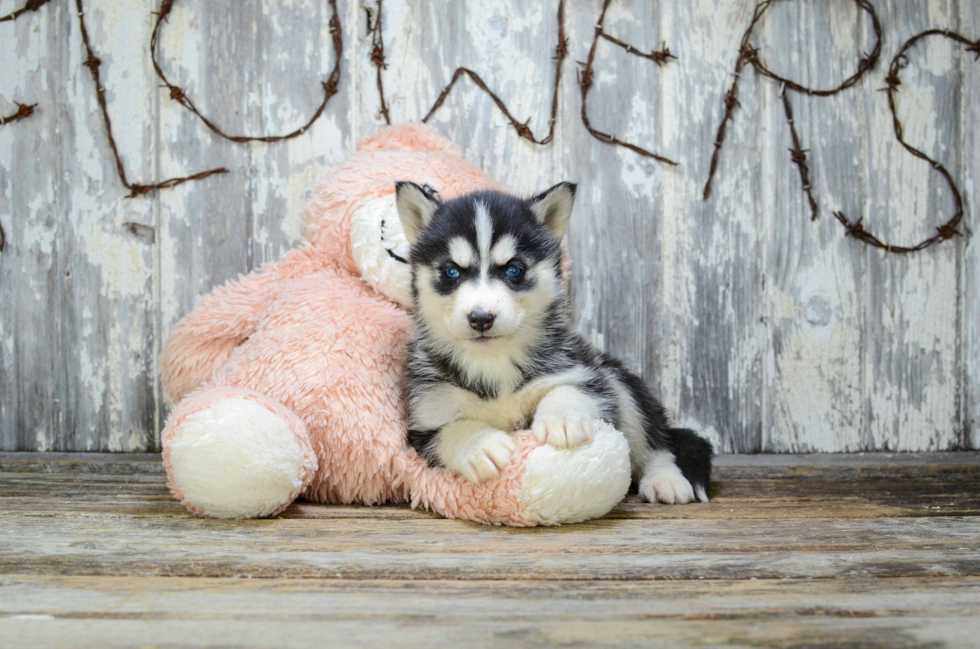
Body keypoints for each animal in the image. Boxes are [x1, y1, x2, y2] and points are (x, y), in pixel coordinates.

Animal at [396, 180, 712, 504]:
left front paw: (562, 417)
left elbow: (567, 388)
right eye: (451, 271)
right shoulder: (424, 418)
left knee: (655, 443)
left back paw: (665, 479)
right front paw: (479, 444)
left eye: (514, 269)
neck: (493, 362)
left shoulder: (581, 370)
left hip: (619, 382)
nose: (481, 317)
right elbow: (450, 430)